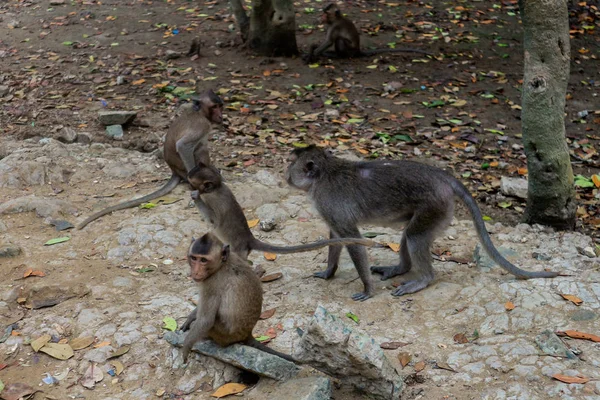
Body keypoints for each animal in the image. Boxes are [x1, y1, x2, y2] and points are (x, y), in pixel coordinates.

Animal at [77, 89, 223, 230]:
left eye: (220, 106)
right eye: (214, 106)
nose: (221, 116)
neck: (200, 112)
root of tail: (174, 170)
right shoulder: (202, 125)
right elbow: (183, 145)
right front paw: (194, 183)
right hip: (183, 167)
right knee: (200, 148)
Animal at [182, 233, 296, 364]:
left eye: (203, 260)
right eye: (194, 258)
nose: (195, 272)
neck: (222, 264)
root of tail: (248, 334)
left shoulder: (211, 284)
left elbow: (206, 320)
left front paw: (186, 347)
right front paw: (190, 317)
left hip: (224, 335)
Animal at [188, 163, 376, 260]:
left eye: (191, 182)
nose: (188, 186)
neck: (217, 188)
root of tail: (249, 239)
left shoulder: (212, 200)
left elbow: (213, 220)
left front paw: (195, 197)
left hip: (238, 250)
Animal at [286, 145, 556, 302]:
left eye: (291, 164)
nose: (286, 174)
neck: (323, 175)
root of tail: (441, 175)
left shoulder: (329, 202)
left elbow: (351, 239)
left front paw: (367, 289)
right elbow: (335, 237)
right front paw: (329, 272)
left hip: (436, 205)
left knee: (415, 237)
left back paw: (424, 279)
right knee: (409, 234)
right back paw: (401, 268)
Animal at [304, 3, 432, 63]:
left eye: (325, 13)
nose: (321, 17)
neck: (336, 18)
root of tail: (358, 50)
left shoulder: (335, 26)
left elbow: (329, 41)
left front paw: (312, 55)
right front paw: (312, 49)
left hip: (351, 51)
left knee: (340, 40)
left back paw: (338, 56)